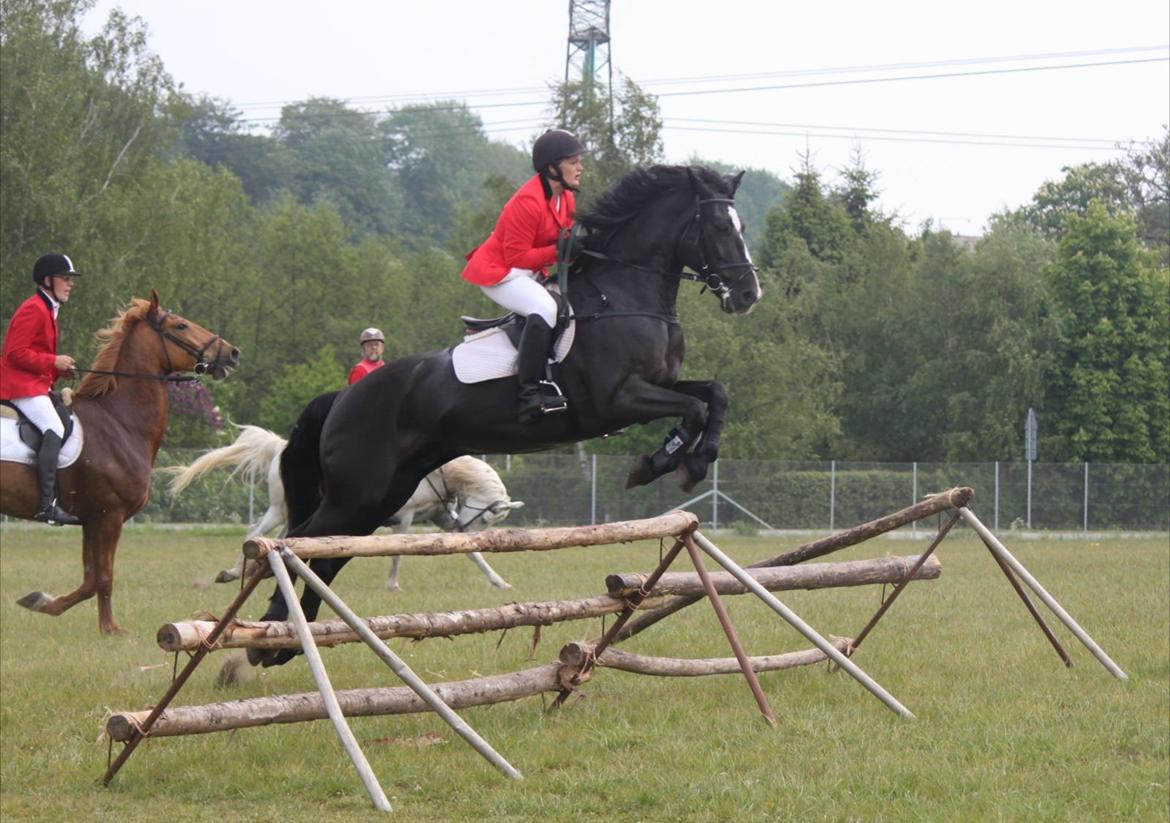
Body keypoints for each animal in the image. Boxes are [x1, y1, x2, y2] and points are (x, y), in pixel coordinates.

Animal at [0, 292, 237, 632]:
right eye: (181, 325)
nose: (232, 353)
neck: (118, 421)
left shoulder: (90, 520)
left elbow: (89, 580)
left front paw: (43, 602)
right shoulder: (109, 516)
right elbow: (104, 577)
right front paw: (110, 629)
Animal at [251, 163, 762, 664]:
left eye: (740, 227)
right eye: (720, 227)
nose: (748, 294)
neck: (621, 297)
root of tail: (342, 397)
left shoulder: (658, 386)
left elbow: (714, 395)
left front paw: (688, 460)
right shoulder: (617, 401)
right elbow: (693, 409)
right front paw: (666, 463)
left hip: (382, 494)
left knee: (329, 553)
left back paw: (287, 640)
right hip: (358, 491)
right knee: (300, 540)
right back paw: (268, 636)